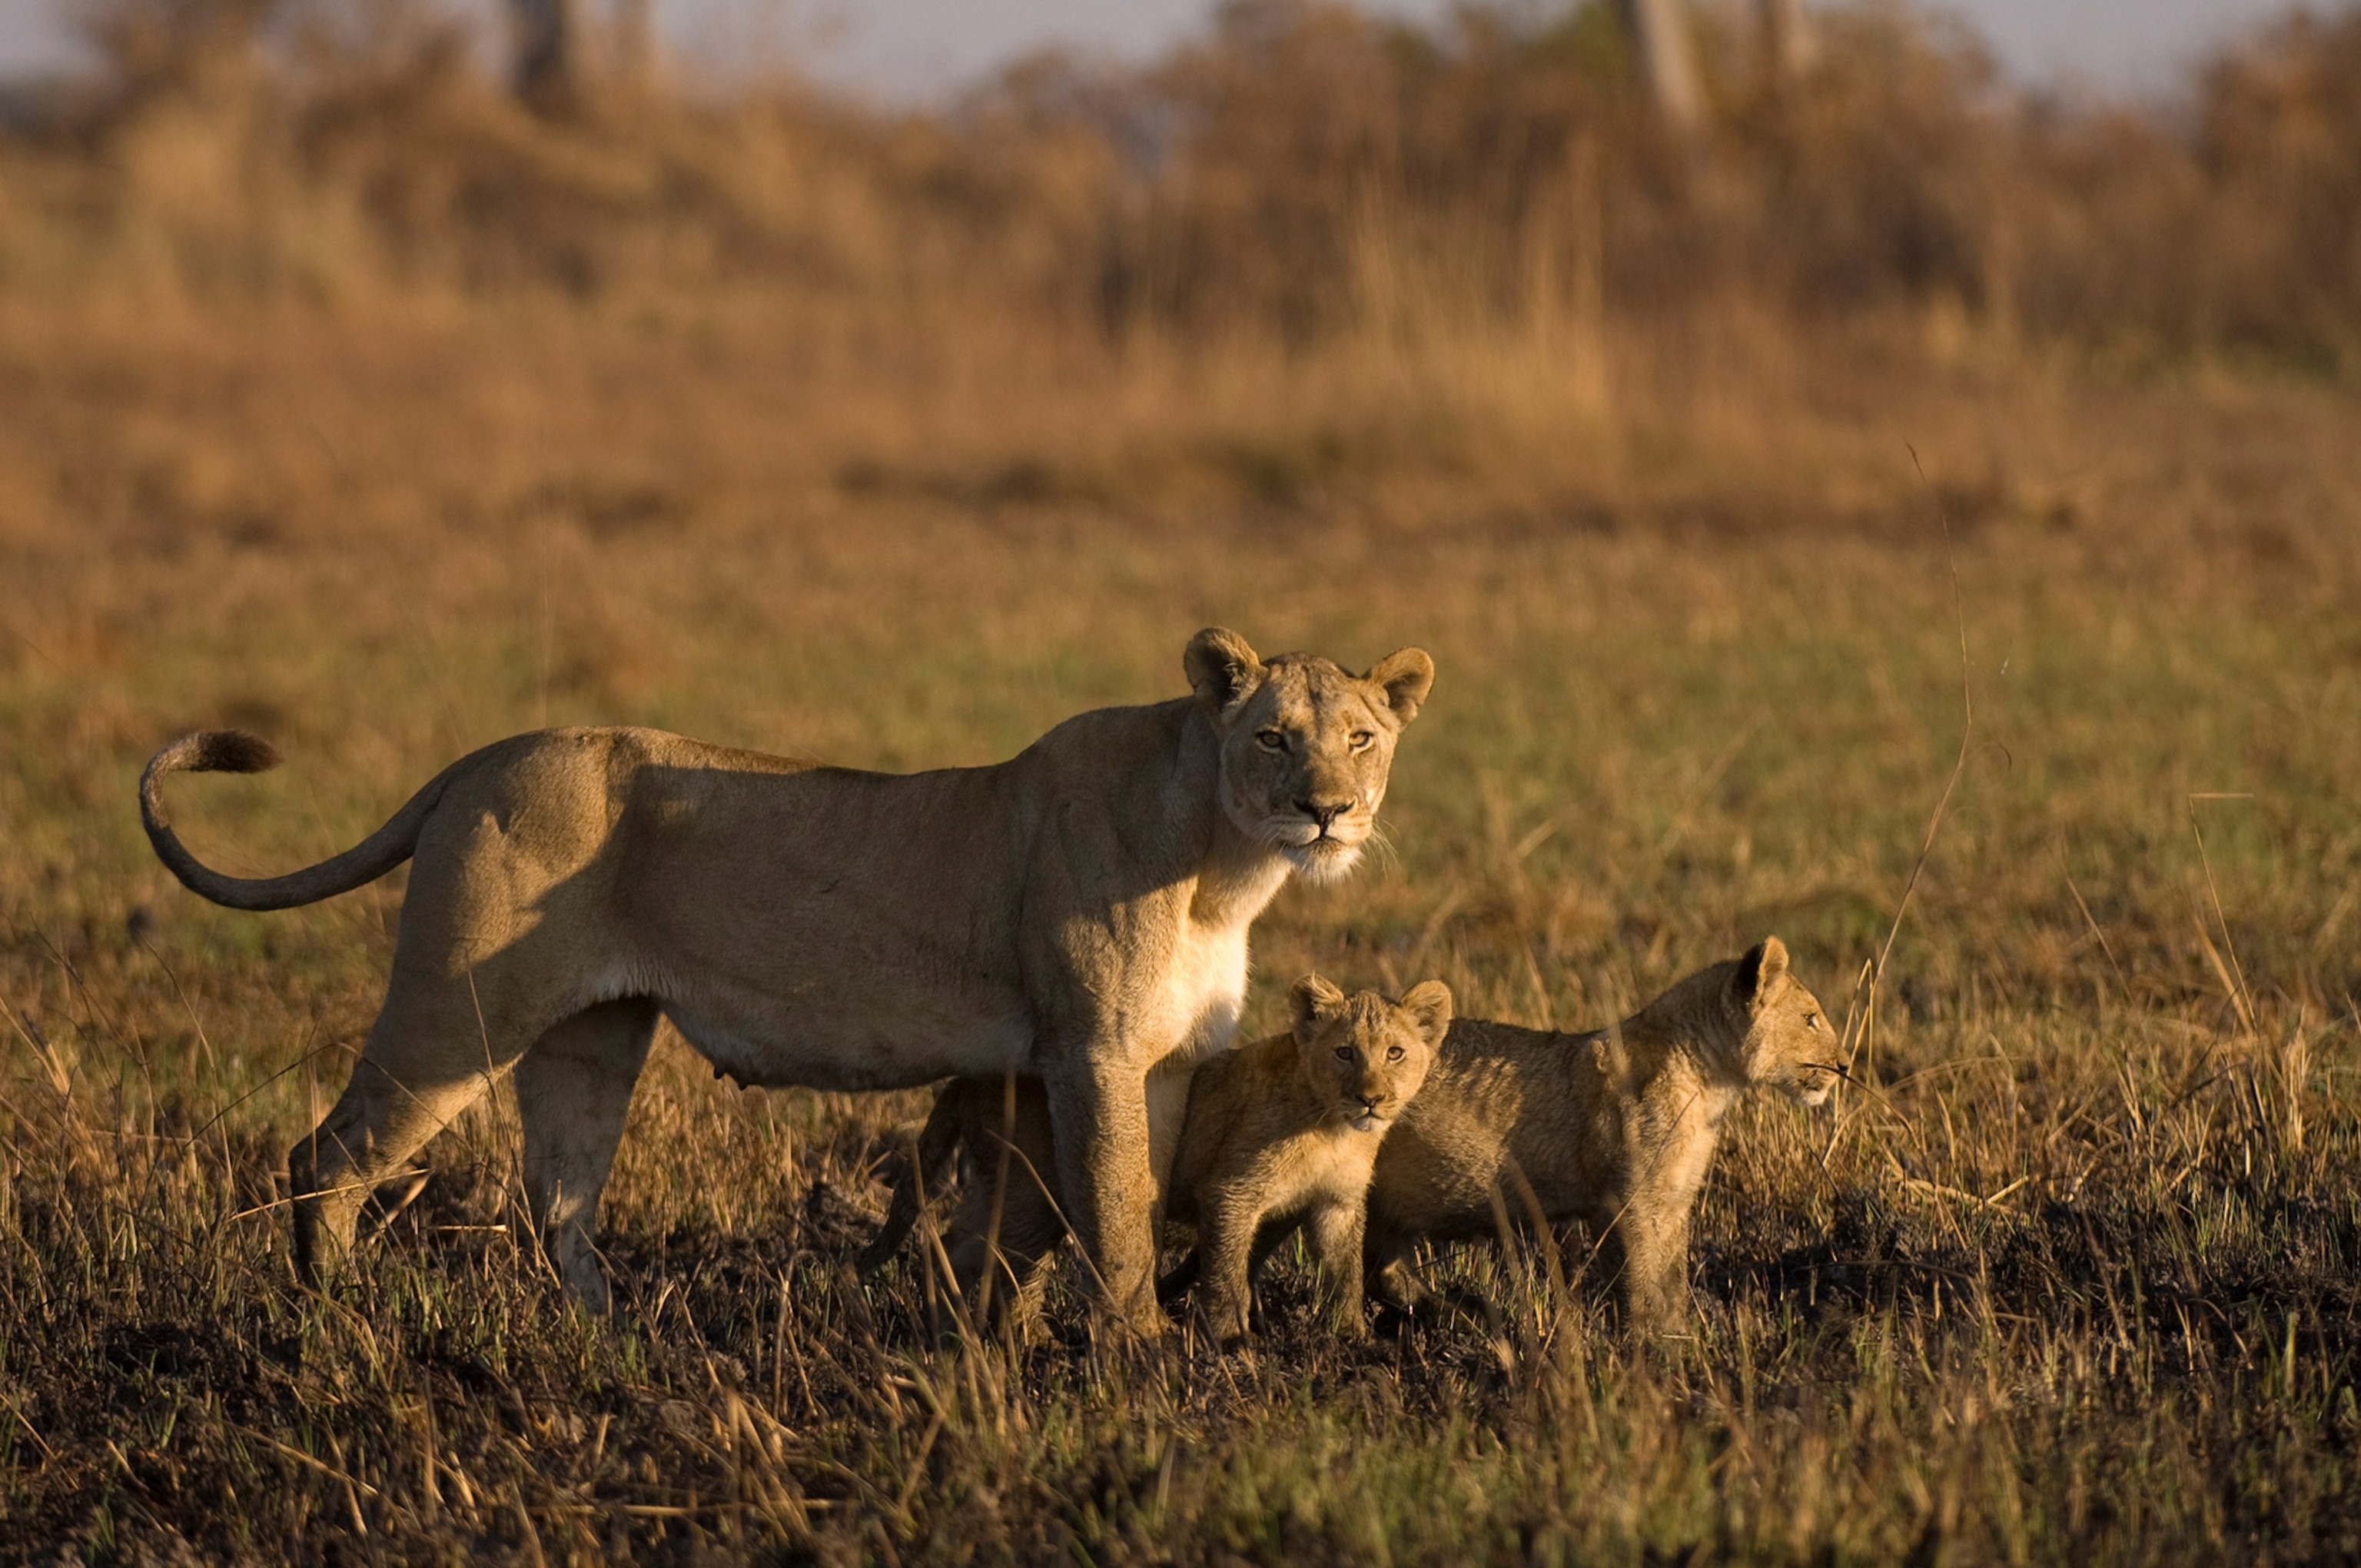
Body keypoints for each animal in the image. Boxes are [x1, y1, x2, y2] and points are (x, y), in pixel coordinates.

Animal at [864, 975, 1451, 1344]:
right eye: (1344, 1053)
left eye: (1395, 1053)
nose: (1371, 1099)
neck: (1334, 1128)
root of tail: (971, 1077)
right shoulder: (1231, 1191)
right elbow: (1226, 1271)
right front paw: (1229, 1339)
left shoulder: (1338, 1204)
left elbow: (1344, 1272)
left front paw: (1352, 1336)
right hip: (1033, 1194)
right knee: (989, 1259)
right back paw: (998, 1341)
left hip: (1007, 1191)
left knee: (959, 1247)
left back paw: (962, 1336)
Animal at [1360, 937, 1835, 1327]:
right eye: (1810, 1018)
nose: (1843, 1063)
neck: (1709, 1084)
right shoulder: (1624, 1199)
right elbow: (1638, 1283)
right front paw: (1648, 1349)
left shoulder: (1674, 1198)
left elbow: (1671, 1280)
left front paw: (1680, 1336)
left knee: (1383, 1271)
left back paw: (1464, 1314)